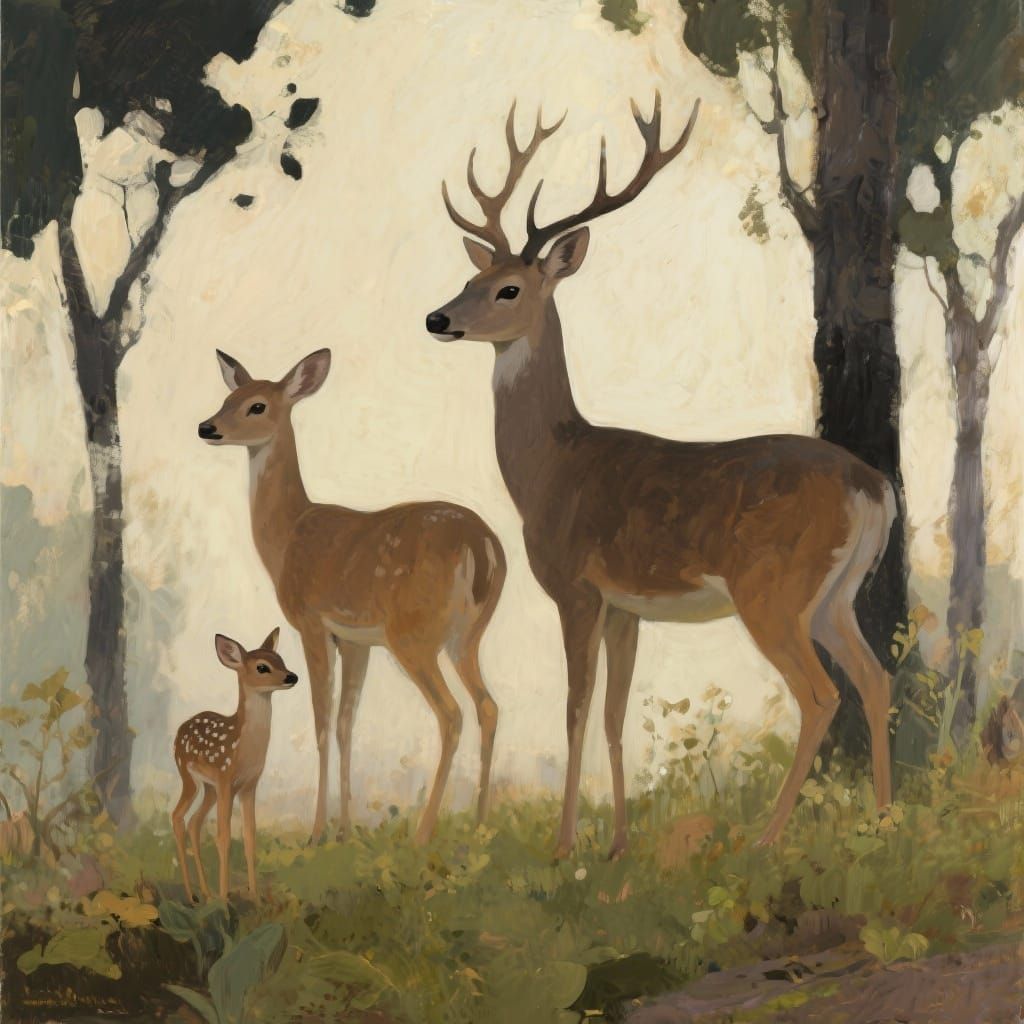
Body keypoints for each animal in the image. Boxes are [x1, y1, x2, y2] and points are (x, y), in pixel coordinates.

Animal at [171, 629, 298, 901]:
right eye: (262, 667)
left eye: (281, 659)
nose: (292, 676)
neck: (244, 750)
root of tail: (180, 729)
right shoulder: (226, 779)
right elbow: (223, 837)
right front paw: (225, 900)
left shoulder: (249, 785)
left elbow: (249, 836)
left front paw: (256, 898)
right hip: (188, 775)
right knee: (177, 816)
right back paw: (192, 895)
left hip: (209, 788)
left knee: (194, 822)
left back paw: (206, 892)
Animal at [198, 348, 506, 846]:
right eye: (228, 397)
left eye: (257, 406)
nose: (207, 427)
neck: (287, 536)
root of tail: (484, 548)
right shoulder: (358, 641)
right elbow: (346, 724)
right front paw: (344, 830)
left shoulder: (310, 621)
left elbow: (322, 723)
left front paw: (317, 832)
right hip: (469, 634)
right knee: (488, 706)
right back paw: (480, 824)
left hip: (414, 634)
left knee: (451, 713)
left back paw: (423, 834)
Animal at [425, 95, 896, 860]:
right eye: (469, 280)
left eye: (507, 289)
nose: (437, 318)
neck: (552, 468)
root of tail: (876, 487)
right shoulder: (627, 607)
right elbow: (615, 716)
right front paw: (617, 844)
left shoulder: (577, 587)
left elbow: (575, 710)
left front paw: (564, 847)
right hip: (836, 594)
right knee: (876, 678)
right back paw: (884, 824)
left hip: (773, 589)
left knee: (821, 694)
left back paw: (765, 842)